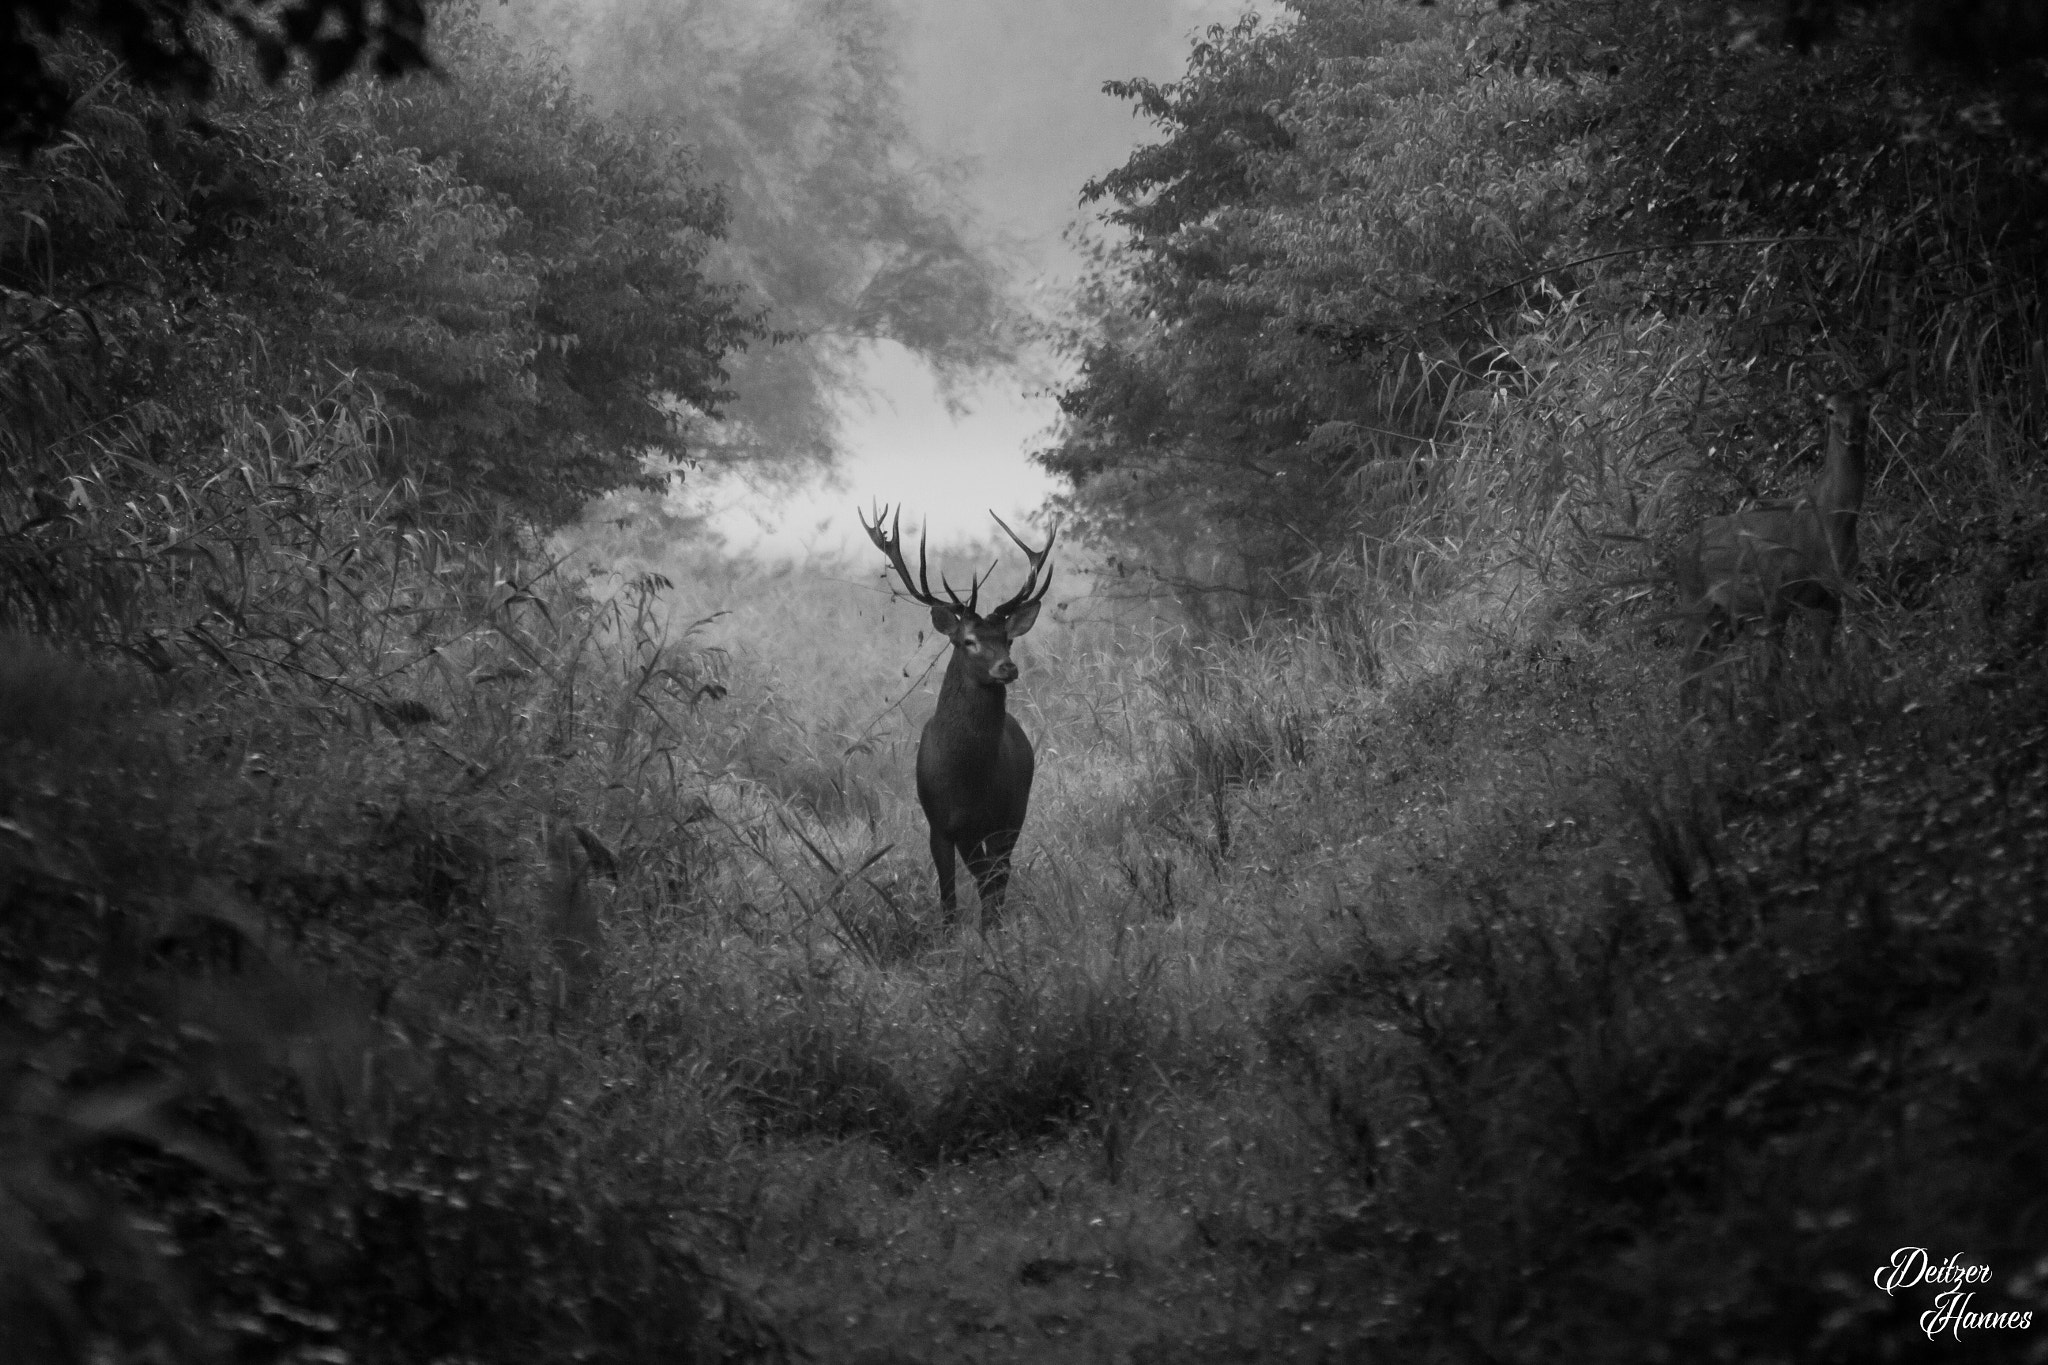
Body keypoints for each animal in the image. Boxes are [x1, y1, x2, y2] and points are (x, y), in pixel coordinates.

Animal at [861, 504, 1056, 925]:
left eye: (1008, 638)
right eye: (969, 641)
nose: (1007, 667)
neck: (967, 780)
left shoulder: (998, 819)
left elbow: (991, 884)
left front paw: (991, 935)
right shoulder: (940, 824)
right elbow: (948, 899)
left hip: (1017, 810)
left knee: (998, 877)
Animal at [1674, 363, 1898, 708]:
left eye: (1866, 406)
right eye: (1830, 409)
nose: (1851, 432)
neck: (1825, 525)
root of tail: (1678, 552)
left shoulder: (1830, 596)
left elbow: (1822, 669)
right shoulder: (1775, 596)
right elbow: (1771, 676)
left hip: (1725, 620)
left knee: (1699, 674)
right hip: (1696, 606)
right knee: (1685, 676)